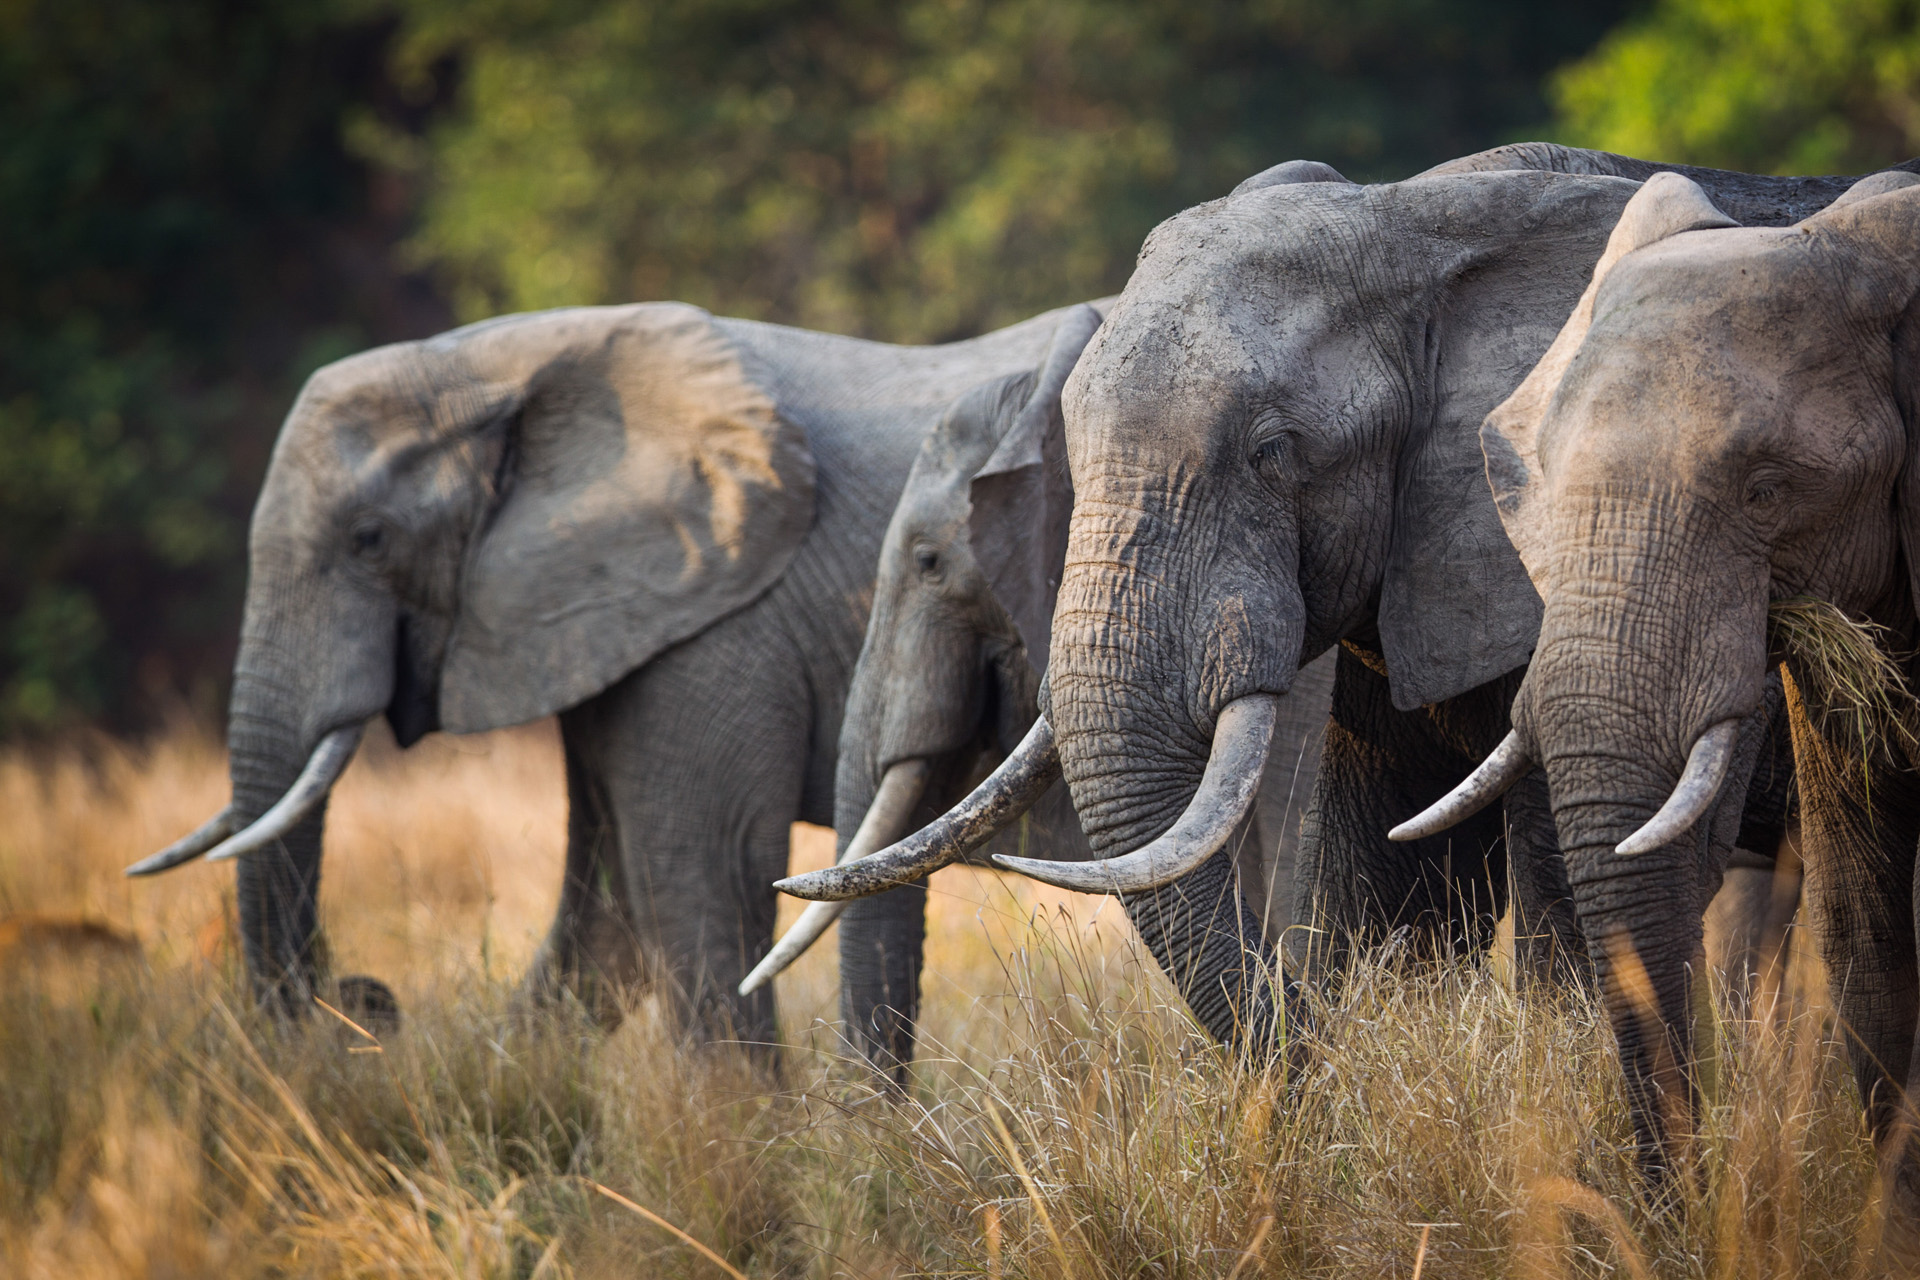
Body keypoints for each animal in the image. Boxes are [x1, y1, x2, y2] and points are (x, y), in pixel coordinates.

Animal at [127, 301, 1105, 1051]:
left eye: (370, 541)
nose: (369, 1001)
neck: (497, 364)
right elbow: (613, 906)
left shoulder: (716, 623)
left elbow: (698, 869)